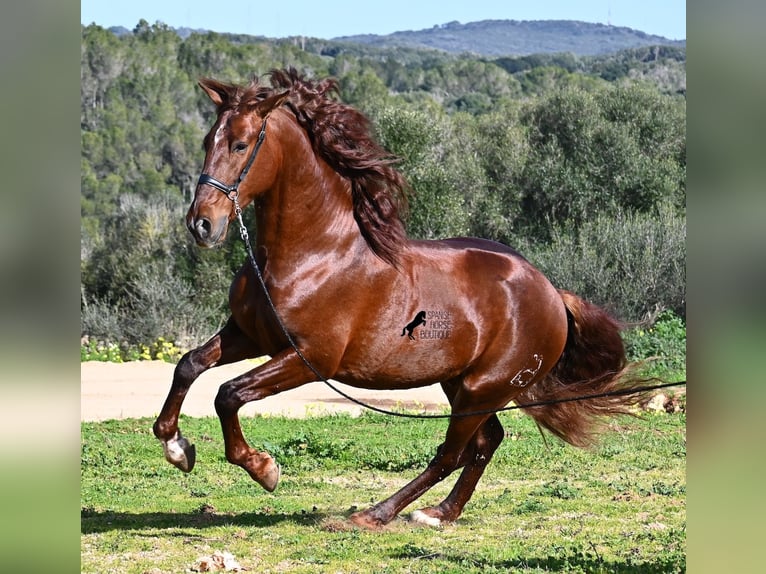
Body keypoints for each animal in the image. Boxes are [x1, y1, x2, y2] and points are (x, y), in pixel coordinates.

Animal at [156, 68, 648, 532]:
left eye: (240, 144)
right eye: (207, 141)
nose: (201, 225)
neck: (311, 254)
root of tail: (551, 293)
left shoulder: (309, 359)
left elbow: (228, 394)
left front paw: (263, 468)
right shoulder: (250, 336)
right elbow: (189, 365)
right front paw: (176, 445)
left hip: (484, 386)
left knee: (452, 453)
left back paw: (378, 514)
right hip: (462, 384)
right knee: (485, 443)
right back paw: (440, 513)